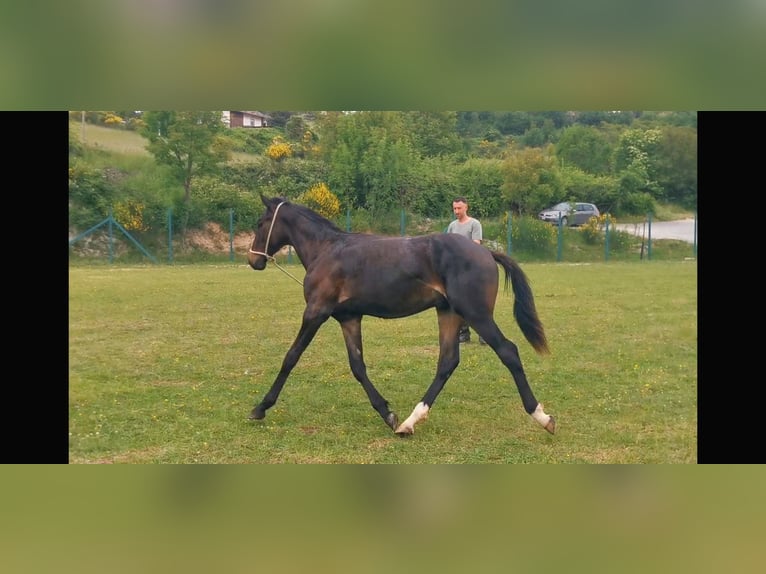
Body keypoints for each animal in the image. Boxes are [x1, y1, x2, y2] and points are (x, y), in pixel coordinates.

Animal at [249, 197, 556, 436]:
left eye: (260, 223)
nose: (253, 260)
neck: (326, 250)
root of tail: (486, 252)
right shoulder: (349, 318)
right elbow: (357, 366)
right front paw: (388, 414)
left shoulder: (316, 312)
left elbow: (291, 357)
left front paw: (260, 407)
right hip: (448, 313)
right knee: (447, 362)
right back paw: (409, 422)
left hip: (476, 314)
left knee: (508, 351)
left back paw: (542, 417)